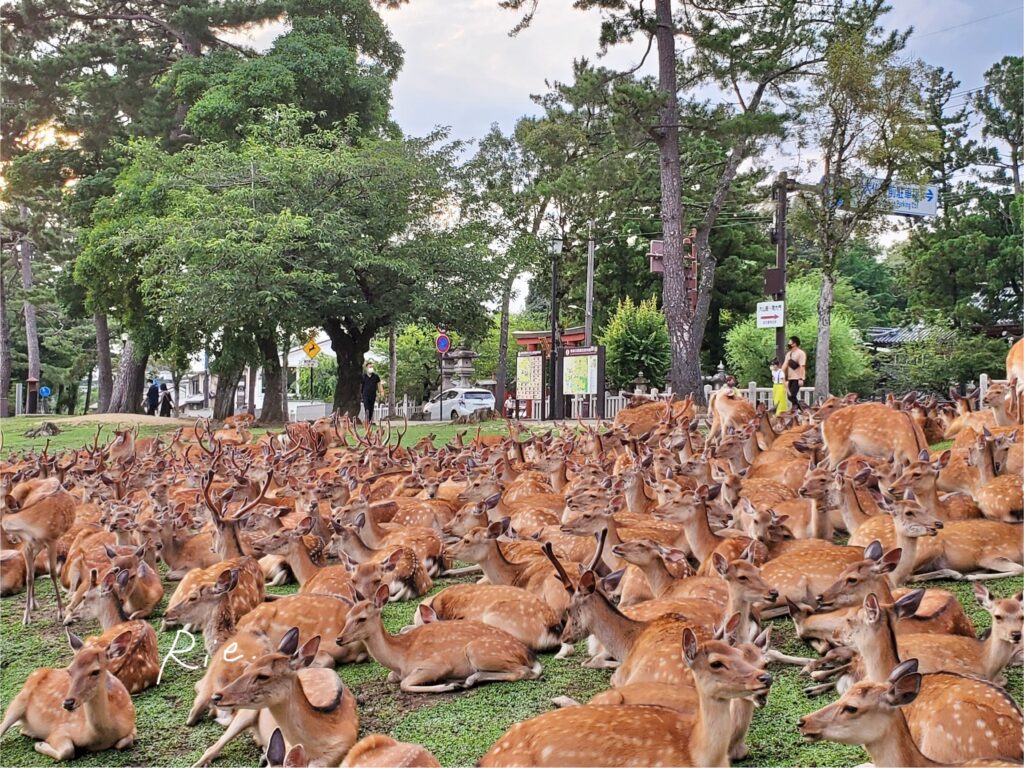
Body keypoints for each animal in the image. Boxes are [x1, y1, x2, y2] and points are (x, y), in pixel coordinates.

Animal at [0, 630, 136, 761]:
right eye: (69, 670)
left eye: (96, 671)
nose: (68, 703)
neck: (101, 736)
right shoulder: (59, 730)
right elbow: (67, 750)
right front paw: (40, 744)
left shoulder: (132, 727)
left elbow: (124, 742)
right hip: (18, 701)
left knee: (22, 730)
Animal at [2, 476, 77, 624]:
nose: (12, 538)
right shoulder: (28, 544)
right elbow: (29, 577)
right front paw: (26, 616)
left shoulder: (51, 540)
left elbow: (53, 573)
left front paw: (60, 612)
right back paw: (33, 604)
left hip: (42, 545)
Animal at [336, 584, 542, 692]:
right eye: (347, 616)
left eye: (362, 618)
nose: (339, 639)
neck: (399, 657)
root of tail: (530, 655)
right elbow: (394, 678)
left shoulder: (437, 663)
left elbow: (405, 684)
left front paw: (448, 685)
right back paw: (470, 679)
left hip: (478, 651)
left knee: (523, 672)